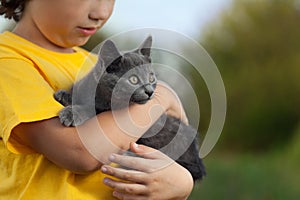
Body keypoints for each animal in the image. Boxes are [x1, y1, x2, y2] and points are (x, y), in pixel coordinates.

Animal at [54, 36, 205, 181]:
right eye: (133, 79)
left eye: (151, 78)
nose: (150, 91)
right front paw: (64, 95)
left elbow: (92, 110)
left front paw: (71, 113)